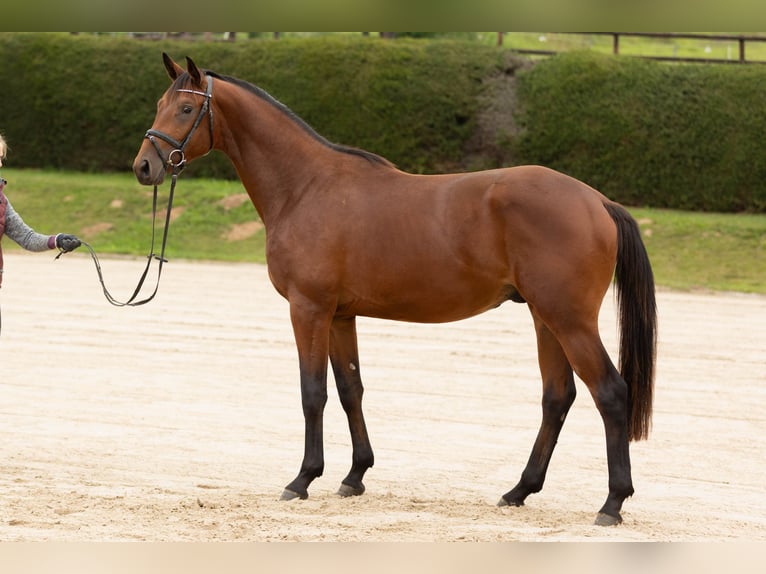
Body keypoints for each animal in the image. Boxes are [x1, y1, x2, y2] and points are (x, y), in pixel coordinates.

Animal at [134, 54, 660, 528]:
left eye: (186, 109)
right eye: (160, 103)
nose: (144, 166)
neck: (306, 187)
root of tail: (597, 201)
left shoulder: (309, 309)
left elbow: (312, 392)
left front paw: (303, 479)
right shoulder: (340, 315)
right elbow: (350, 389)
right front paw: (354, 476)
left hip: (569, 320)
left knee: (610, 393)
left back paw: (612, 503)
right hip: (545, 318)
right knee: (557, 397)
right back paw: (518, 491)